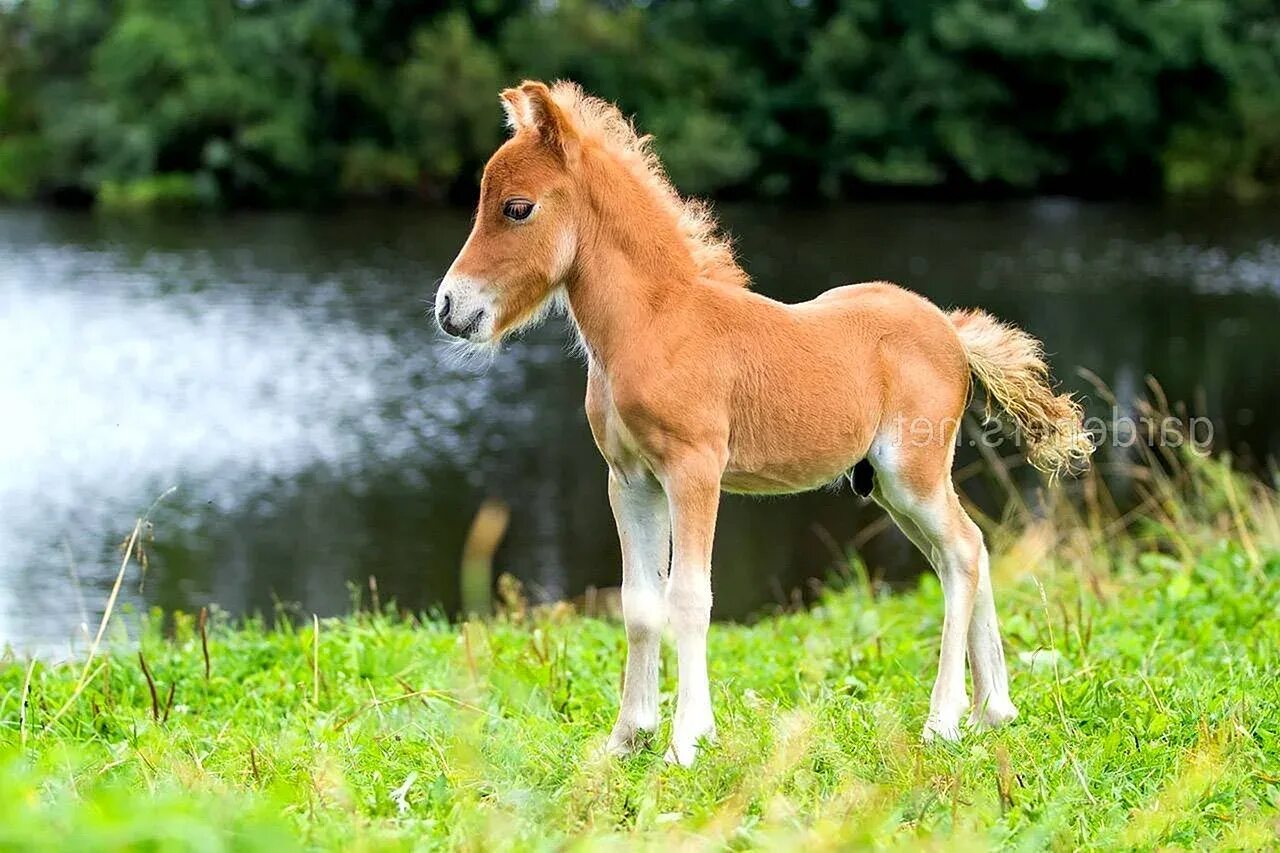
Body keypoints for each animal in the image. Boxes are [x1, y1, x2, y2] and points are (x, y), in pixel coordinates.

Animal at [435, 79, 1095, 763]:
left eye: (517, 208)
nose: (450, 309)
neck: (655, 323)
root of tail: (951, 331)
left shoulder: (694, 471)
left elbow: (688, 597)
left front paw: (686, 740)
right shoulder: (630, 480)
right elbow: (639, 604)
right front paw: (626, 738)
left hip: (912, 473)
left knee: (963, 552)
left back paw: (943, 720)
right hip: (891, 489)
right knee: (966, 552)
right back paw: (994, 711)